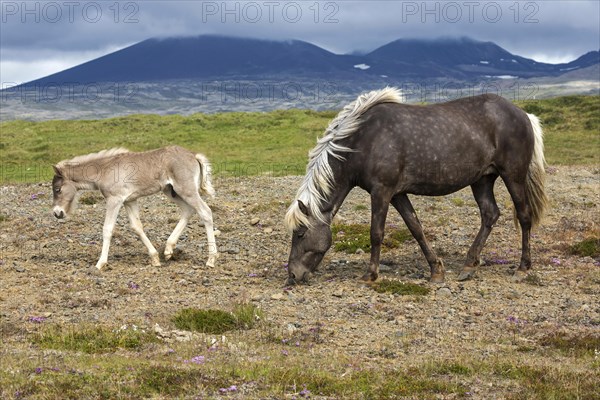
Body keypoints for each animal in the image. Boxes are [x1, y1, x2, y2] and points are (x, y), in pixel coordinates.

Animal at [50, 145, 217, 270]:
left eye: (57, 189)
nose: (57, 213)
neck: (104, 170)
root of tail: (194, 155)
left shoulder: (115, 200)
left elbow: (107, 229)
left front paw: (100, 263)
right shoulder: (130, 201)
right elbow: (137, 227)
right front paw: (155, 258)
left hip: (186, 190)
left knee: (205, 212)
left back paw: (211, 259)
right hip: (171, 191)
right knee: (188, 211)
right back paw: (168, 250)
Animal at [286, 88, 548, 286]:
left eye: (300, 234)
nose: (292, 275)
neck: (363, 140)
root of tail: (524, 114)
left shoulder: (381, 192)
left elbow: (376, 233)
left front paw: (370, 274)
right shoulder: (398, 194)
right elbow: (416, 228)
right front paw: (436, 270)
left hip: (513, 176)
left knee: (524, 216)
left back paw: (522, 268)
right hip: (482, 179)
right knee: (490, 214)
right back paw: (469, 265)